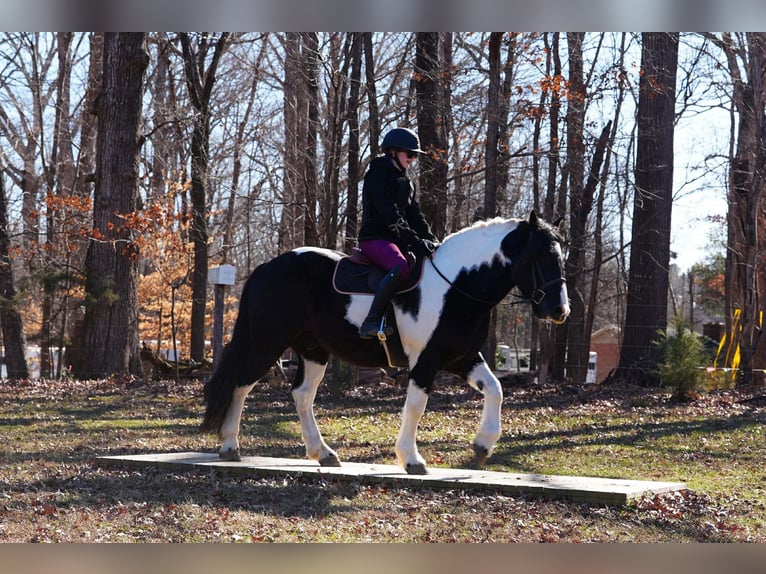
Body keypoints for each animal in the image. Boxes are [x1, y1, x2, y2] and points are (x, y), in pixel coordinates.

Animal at [201, 211, 569, 475]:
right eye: (538, 256)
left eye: (560, 256)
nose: (559, 310)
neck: (455, 287)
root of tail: (268, 266)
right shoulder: (426, 360)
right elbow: (416, 405)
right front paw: (412, 459)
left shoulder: (463, 357)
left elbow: (496, 389)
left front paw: (482, 446)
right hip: (267, 343)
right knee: (241, 384)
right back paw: (230, 445)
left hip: (313, 350)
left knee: (302, 395)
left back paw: (323, 453)